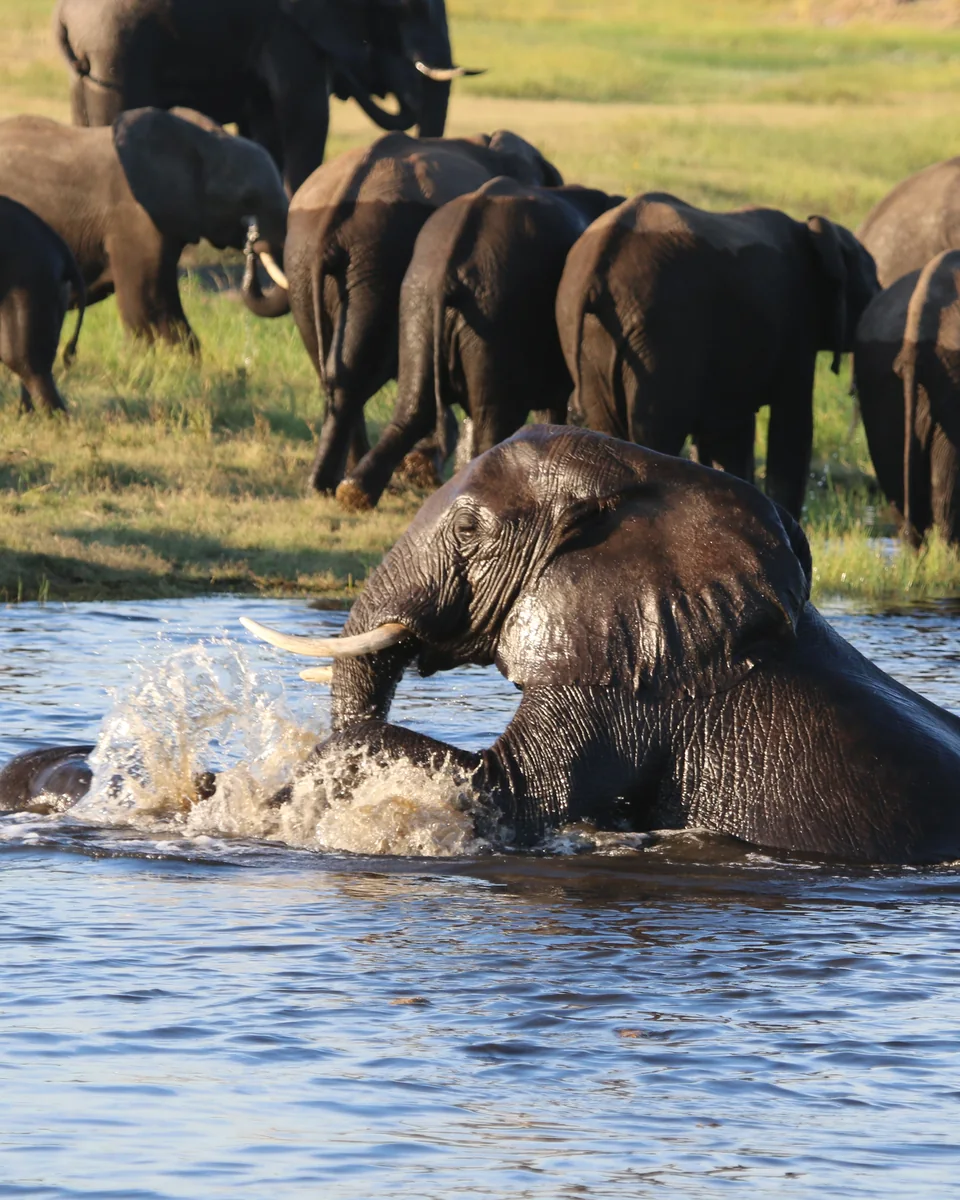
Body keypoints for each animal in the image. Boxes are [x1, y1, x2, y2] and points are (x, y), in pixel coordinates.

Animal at [55, 0, 475, 194]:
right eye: (407, 8)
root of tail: (63, 17)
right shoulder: (287, 27)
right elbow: (304, 112)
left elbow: (266, 123)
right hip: (116, 52)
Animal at [244, 131, 564, 494]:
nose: (254, 242)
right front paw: (423, 468)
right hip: (379, 255)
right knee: (357, 369)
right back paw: (344, 483)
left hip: (311, 261)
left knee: (334, 369)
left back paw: (329, 483)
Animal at [335, 178, 623, 512]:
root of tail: (453, 259)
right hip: (495, 312)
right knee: (491, 422)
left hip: (420, 301)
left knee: (414, 406)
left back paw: (354, 493)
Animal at [555, 193, 880, 519]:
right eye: (872, 279)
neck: (811, 231)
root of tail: (598, 259)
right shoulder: (797, 323)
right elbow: (792, 426)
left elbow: (730, 434)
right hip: (660, 334)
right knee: (655, 435)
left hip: (590, 336)